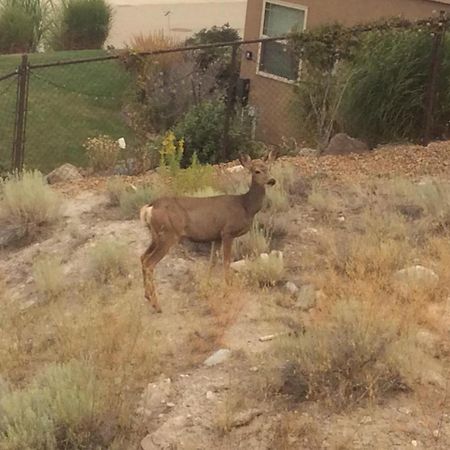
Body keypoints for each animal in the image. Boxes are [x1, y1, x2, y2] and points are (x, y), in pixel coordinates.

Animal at [140, 151, 278, 312]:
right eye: (256, 171)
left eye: (268, 168)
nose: (272, 180)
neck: (245, 207)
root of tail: (149, 207)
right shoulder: (227, 232)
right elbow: (226, 262)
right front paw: (227, 290)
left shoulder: (216, 236)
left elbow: (212, 262)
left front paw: (208, 286)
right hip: (168, 235)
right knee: (149, 263)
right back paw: (156, 304)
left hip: (156, 236)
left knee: (142, 257)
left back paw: (147, 296)